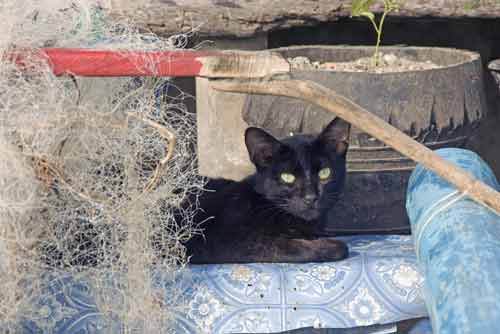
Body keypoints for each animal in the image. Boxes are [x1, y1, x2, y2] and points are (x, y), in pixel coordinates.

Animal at [184, 117, 352, 264]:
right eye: (287, 177)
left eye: (325, 173)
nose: (310, 197)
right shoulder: (221, 239)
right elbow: (285, 246)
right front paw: (333, 246)